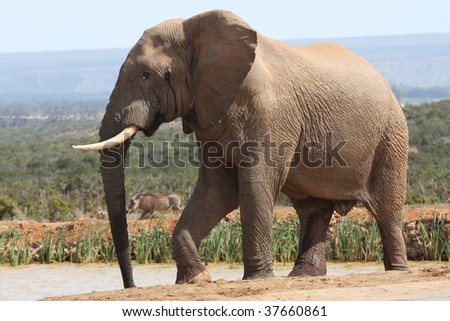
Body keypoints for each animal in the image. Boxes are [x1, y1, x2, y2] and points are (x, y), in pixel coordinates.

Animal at [73, 9, 408, 288]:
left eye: (146, 75)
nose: (131, 287)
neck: (195, 30)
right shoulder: (208, 113)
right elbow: (217, 189)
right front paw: (196, 279)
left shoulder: (271, 114)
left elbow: (254, 186)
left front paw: (257, 278)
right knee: (314, 209)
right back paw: (303, 277)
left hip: (391, 135)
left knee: (387, 210)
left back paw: (397, 271)